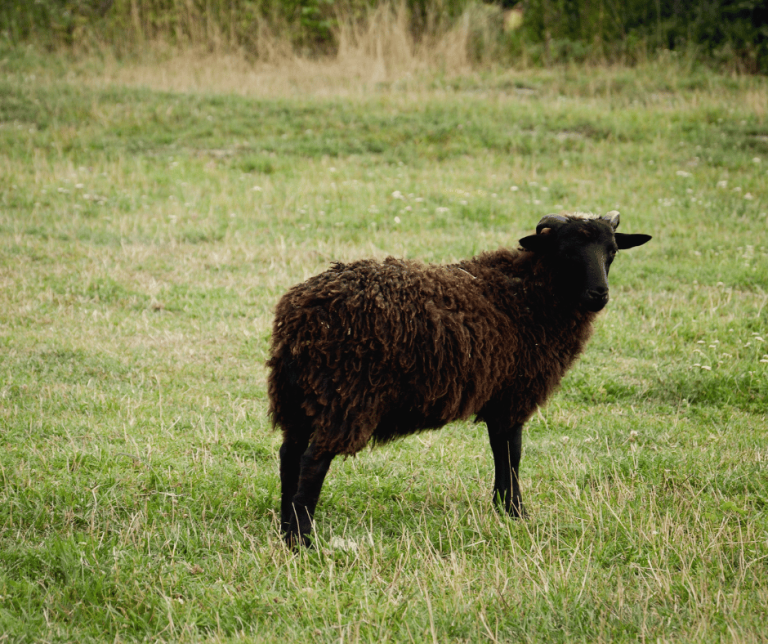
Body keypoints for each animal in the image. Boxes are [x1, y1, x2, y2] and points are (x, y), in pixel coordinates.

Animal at [267, 211, 651, 547]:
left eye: (612, 252)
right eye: (566, 251)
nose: (599, 294)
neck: (529, 294)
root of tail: (302, 315)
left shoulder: (500, 397)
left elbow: (501, 452)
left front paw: (503, 510)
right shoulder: (513, 395)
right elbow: (512, 454)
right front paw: (517, 513)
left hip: (298, 397)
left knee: (289, 455)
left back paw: (285, 526)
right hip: (346, 398)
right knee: (312, 462)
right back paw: (302, 540)